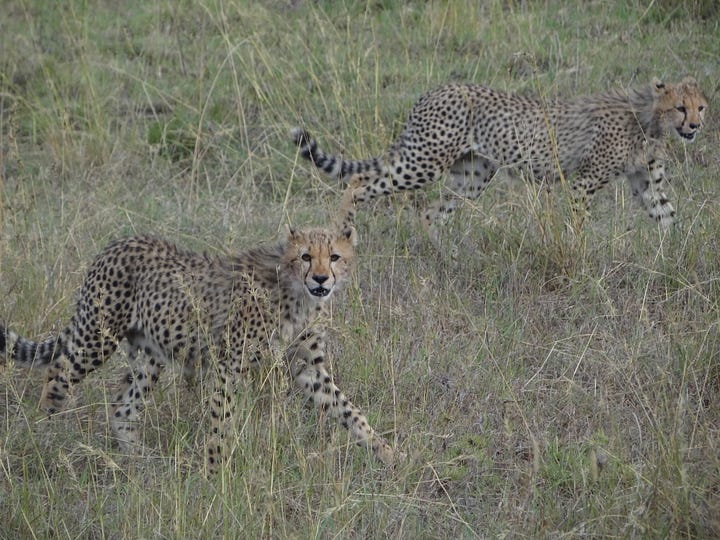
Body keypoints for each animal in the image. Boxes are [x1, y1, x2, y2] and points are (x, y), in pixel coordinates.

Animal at [0, 193, 394, 472]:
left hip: (149, 357)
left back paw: (138, 461)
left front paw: (388, 454)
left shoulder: (308, 367)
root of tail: (117, 244)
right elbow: (222, 421)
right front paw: (215, 474)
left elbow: (350, 411)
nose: (322, 279)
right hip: (97, 337)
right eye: (306, 257)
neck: (295, 292)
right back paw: (47, 433)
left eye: (335, 257)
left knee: (124, 405)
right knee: (58, 372)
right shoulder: (229, 366)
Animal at [294, 77, 708, 237]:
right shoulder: (584, 183)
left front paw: (674, 261)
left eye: (700, 107)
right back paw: (342, 230)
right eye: (680, 107)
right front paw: (581, 257)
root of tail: (434, 91)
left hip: (472, 175)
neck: (649, 118)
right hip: (425, 161)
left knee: (431, 213)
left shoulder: (647, 182)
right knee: (357, 181)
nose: (695, 125)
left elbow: (668, 217)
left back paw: (442, 254)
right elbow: (578, 227)